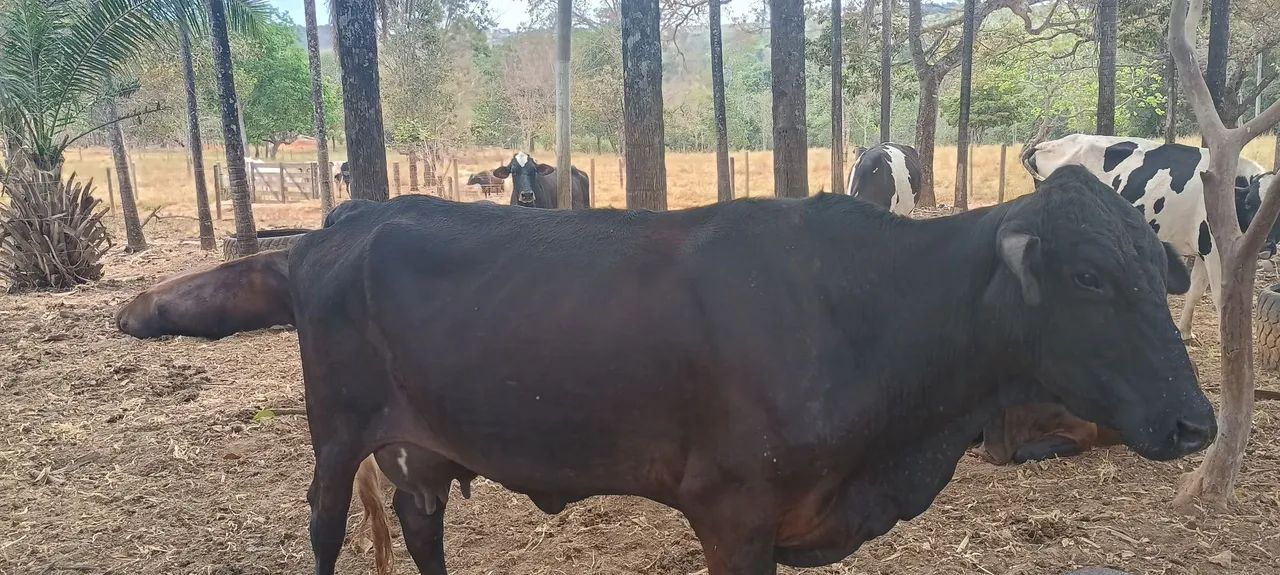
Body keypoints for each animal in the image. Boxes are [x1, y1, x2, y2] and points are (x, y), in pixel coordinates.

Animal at [291, 165, 1213, 575]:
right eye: (1090, 275)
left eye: (1152, 265)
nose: (1196, 421)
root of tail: (357, 214)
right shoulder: (730, 511)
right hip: (336, 433)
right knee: (326, 523)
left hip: (420, 442)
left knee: (420, 519)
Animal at [1022, 133, 1279, 342]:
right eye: (1249, 205)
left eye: (1275, 212)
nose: (1266, 244)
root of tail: (1048, 144)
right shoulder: (1215, 249)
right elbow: (1220, 296)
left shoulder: (1203, 248)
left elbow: (1195, 289)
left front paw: (1185, 331)